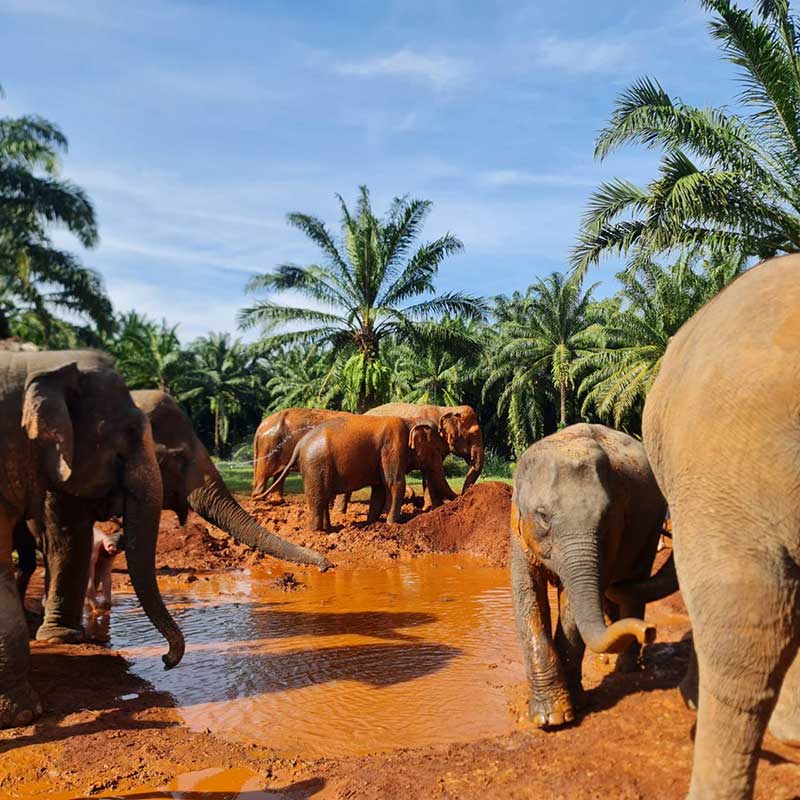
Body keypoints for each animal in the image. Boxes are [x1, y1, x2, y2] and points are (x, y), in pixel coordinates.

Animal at [267, 415, 453, 531]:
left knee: (324, 496)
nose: (443, 508)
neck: (411, 420)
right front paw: (393, 523)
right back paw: (317, 531)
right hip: (316, 465)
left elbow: (379, 489)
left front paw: (371, 523)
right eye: (438, 451)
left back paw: (329, 528)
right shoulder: (393, 447)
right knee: (318, 498)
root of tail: (299, 445)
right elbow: (395, 484)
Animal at [510, 423, 672, 728]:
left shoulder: (613, 534)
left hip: (651, 526)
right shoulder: (517, 531)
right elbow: (527, 595)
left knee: (632, 582)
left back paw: (625, 667)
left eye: (606, 516)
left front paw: (570, 709)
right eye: (543, 516)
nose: (650, 631)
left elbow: (571, 608)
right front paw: (549, 718)